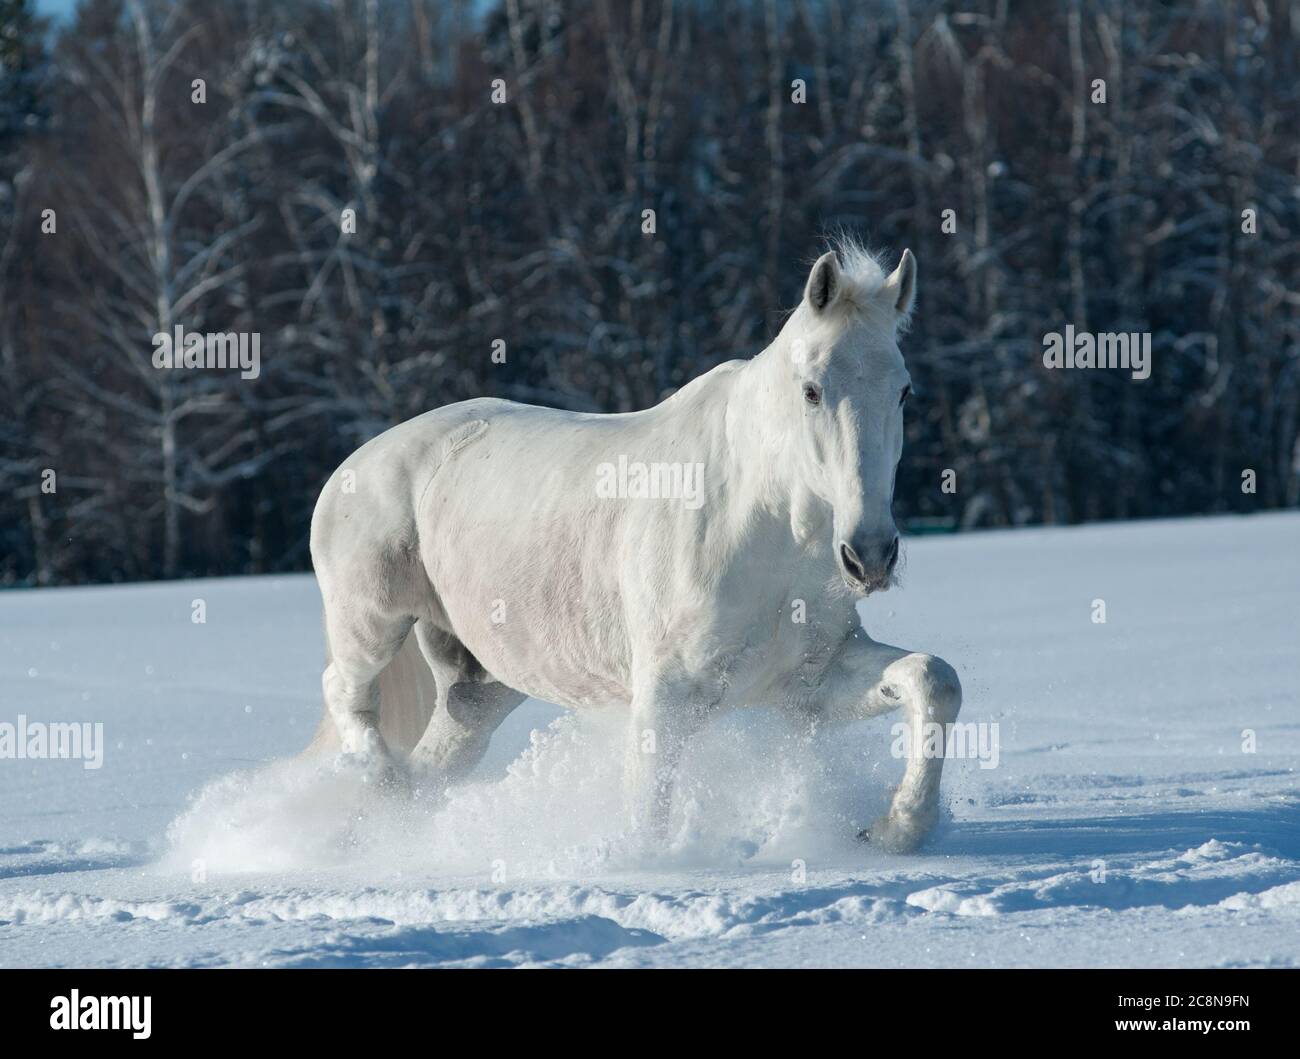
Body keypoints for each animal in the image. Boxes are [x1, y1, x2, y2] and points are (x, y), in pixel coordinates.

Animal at [301, 237, 956, 852]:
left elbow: (933, 679)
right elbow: (647, 815)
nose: (869, 557)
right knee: (346, 692)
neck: (761, 533)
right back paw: (379, 787)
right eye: (812, 390)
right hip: (373, 620)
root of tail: (358, 462)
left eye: (904, 391)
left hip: (479, 684)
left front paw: (895, 830)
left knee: (437, 758)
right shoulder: (666, 697)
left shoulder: (811, 686)